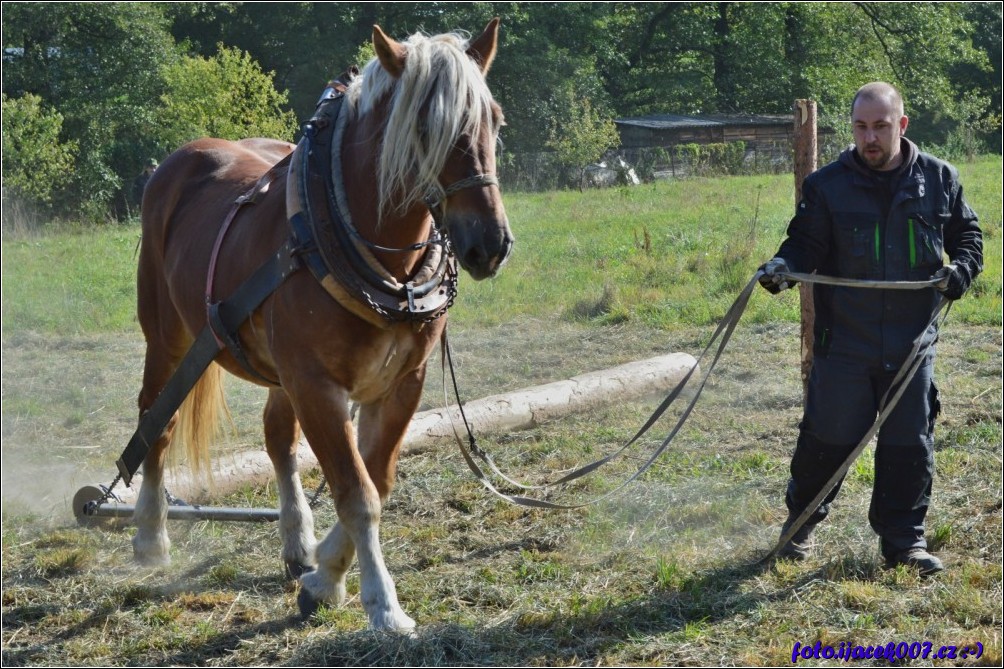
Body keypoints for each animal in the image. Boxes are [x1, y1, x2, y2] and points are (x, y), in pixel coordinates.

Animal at [132, 19, 514, 630]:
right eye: (423, 126)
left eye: (494, 119)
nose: (489, 243)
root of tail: (179, 162)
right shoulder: (316, 383)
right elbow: (356, 492)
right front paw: (382, 604)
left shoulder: (402, 382)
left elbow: (376, 479)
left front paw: (323, 576)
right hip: (167, 336)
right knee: (156, 422)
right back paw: (149, 535)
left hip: (279, 370)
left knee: (278, 440)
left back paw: (296, 542)